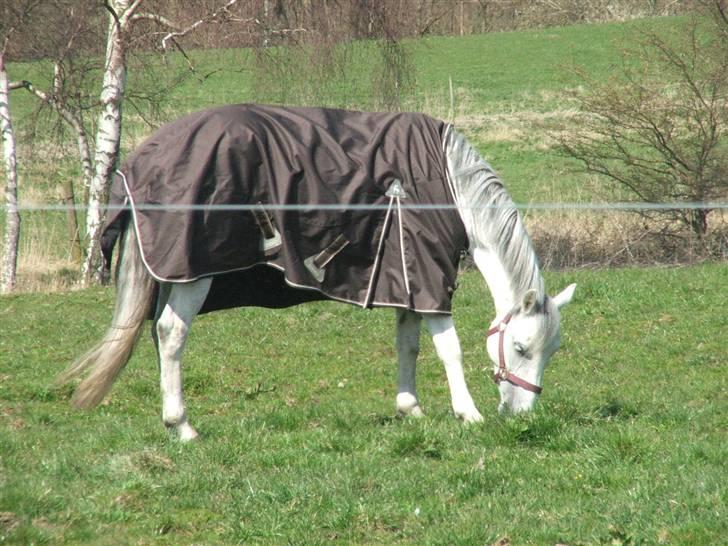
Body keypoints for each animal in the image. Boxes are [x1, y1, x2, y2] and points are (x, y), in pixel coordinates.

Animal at [59, 105, 576, 438]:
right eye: (520, 347)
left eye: (552, 352)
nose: (523, 415)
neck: (447, 185)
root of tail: (140, 161)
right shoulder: (430, 279)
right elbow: (448, 348)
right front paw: (468, 414)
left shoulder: (406, 278)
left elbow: (407, 345)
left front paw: (410, 408)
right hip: (193, 274)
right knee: (170, 334)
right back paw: (181, 425)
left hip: (174, 274)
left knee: (157, 333)